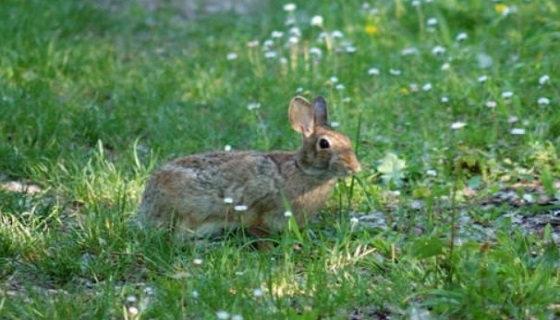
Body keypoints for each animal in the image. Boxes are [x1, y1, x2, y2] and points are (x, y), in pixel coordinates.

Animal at [137, 95, 364, 240]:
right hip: (192, 213)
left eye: (347, 139)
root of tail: (147, 205)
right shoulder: (258, 210)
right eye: (324, 144)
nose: (355, 168)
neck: (303, 170)